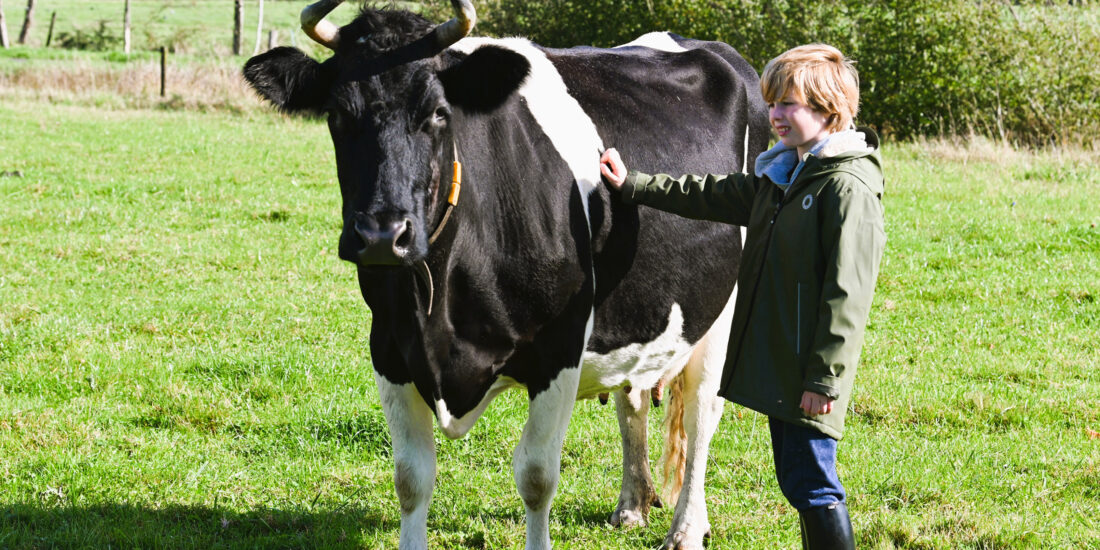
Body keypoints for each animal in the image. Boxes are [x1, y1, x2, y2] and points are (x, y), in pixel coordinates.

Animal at [244, 1, 769, 548]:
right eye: (337, 114)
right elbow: (410, 477)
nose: (383, 235)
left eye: (438, 113)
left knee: (703, 411)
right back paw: (632, 504)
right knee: (634, 400)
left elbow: (536, 477)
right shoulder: (388, 347)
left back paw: (686, 527)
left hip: (725, 310)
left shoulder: (559, 350)